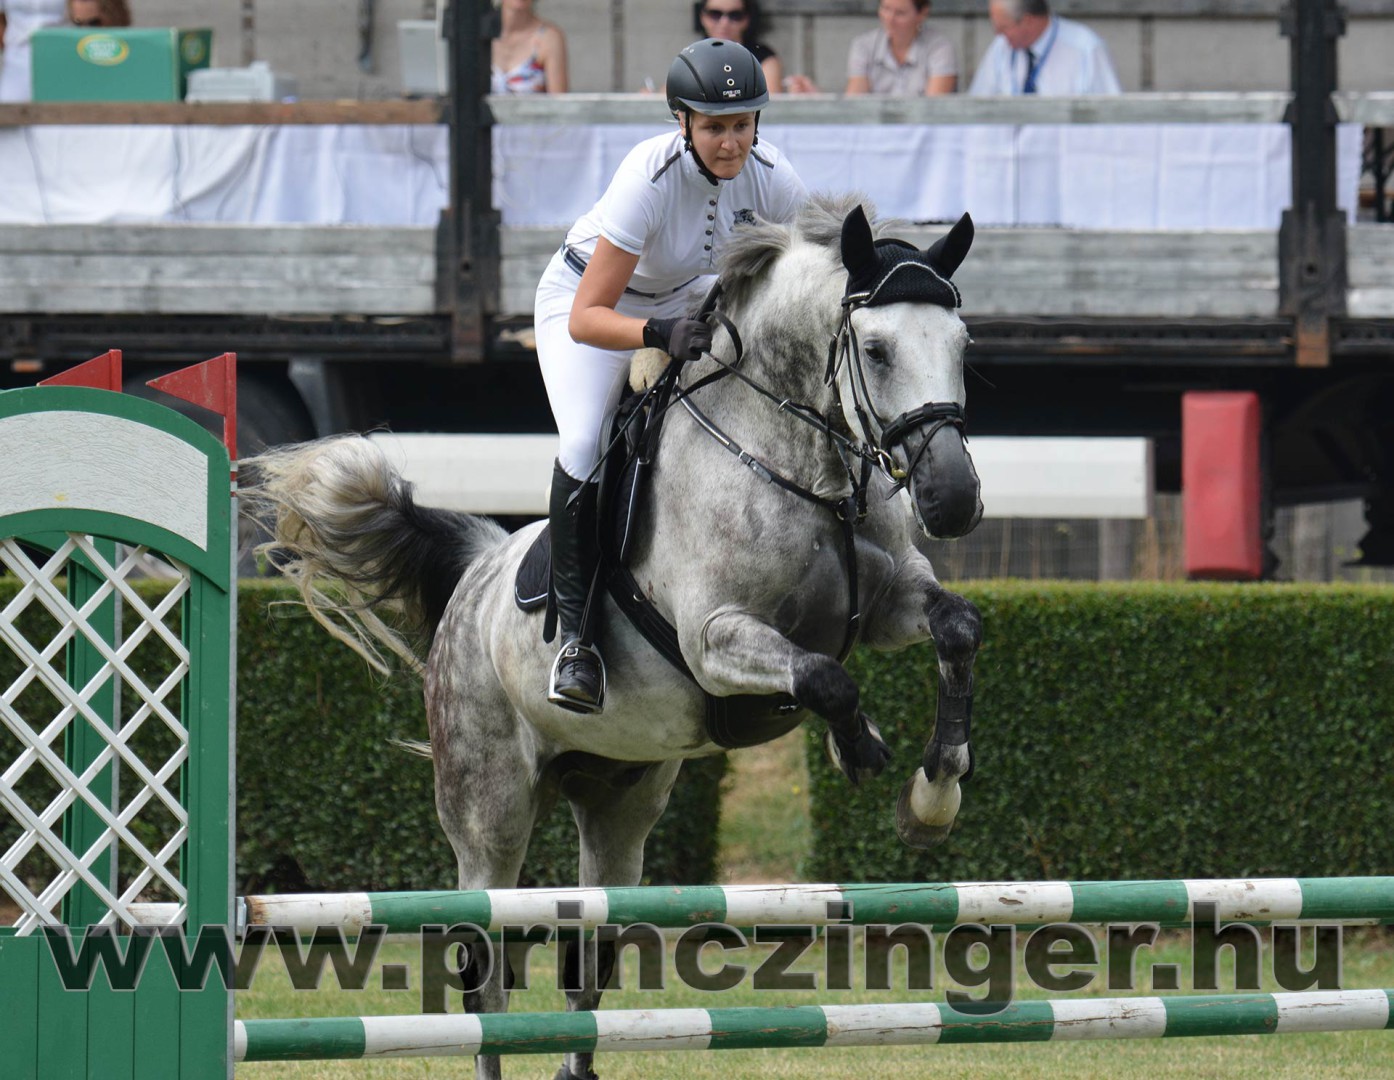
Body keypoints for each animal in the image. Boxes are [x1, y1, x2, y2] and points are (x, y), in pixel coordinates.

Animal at [244, 192, 984, 1080]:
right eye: (875, 349)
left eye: (963, 345)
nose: (953, 501)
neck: (802, 465)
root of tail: (477, 569)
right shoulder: (715, 638)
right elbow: (825, 678)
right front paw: (860, 747)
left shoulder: (888, 604)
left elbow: (956, 630)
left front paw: (933, 798)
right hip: (488, 810)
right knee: (482, 965)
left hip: (618, 806)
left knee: (588, 953)